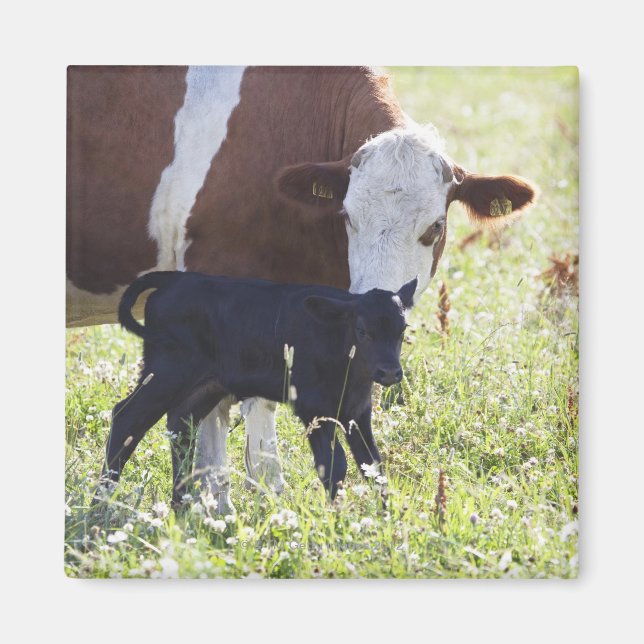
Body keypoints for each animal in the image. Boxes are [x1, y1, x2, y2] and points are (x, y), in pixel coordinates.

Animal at [101, 270, 417, 504]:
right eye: (362, 331)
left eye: (402, 329)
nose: (390, 372)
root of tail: (175, 278)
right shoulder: (313, 408)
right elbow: (333, 465)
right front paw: (336, 518)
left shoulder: (357, 413)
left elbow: (372, 465)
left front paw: (384, 517)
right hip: (166, 372)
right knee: (127, 418)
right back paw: (102, 502)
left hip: (206, 385)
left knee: (180, 424)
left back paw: (182, 504)